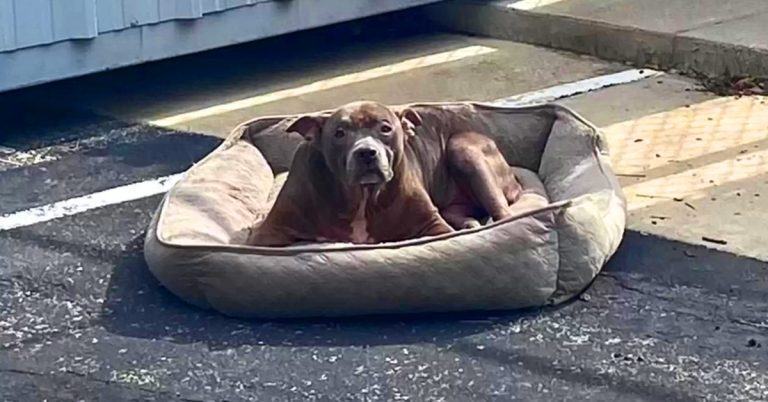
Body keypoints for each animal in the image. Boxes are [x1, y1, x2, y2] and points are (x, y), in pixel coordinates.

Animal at [249, 101, 524, 245]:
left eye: (385, 129)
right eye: (339, 133)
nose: (366, 152)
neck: (362, 198)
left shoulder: (433, 226)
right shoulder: (270, 231)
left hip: (463, 148)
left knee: (503, 214)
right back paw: (469, 223)